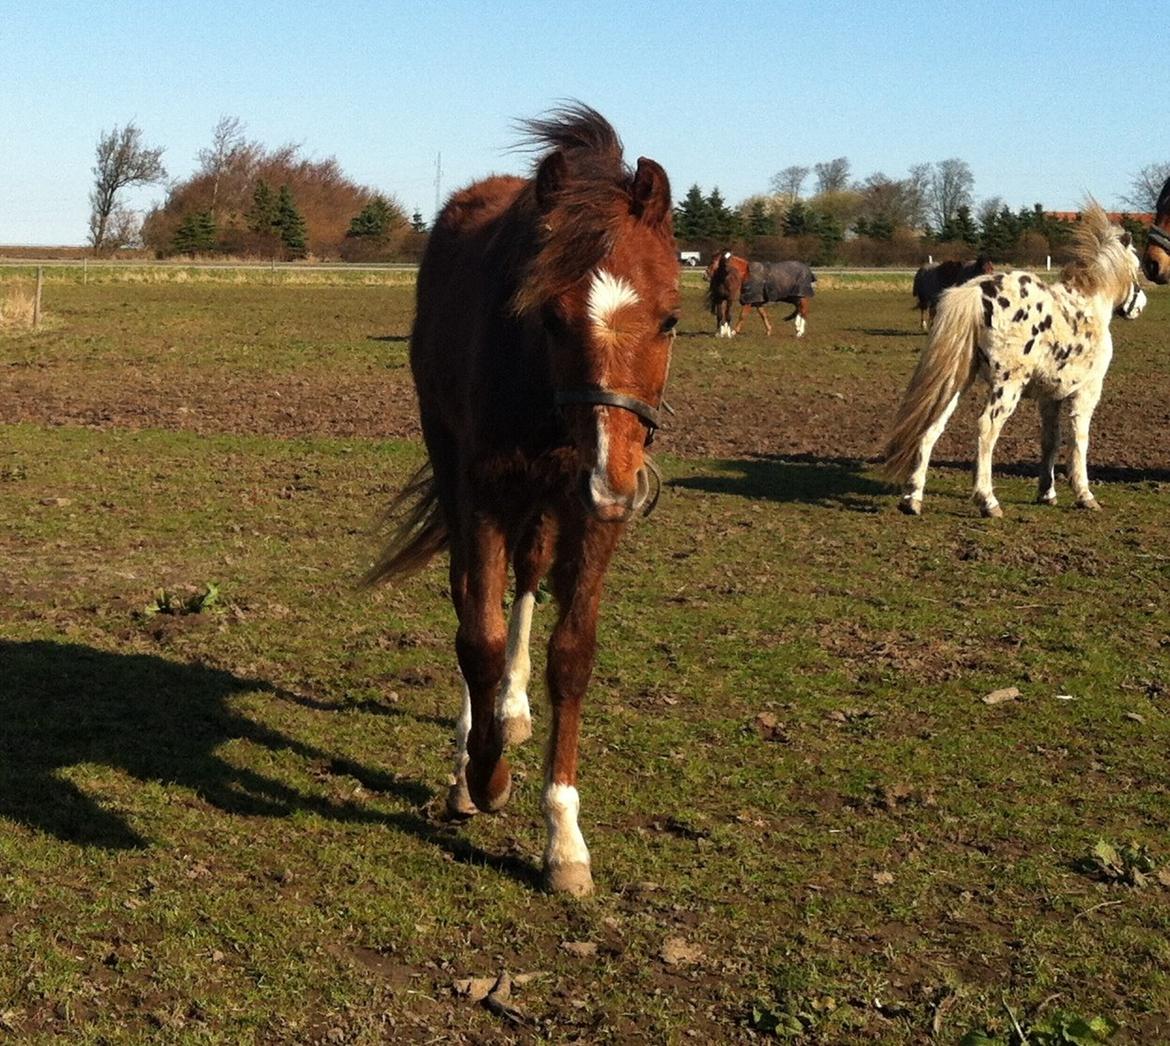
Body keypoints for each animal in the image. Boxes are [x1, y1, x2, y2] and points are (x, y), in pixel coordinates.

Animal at [363, 105, 679, 896]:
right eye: (551, 318)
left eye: (670, 319)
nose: (618, 480)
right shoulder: (483, 491)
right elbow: (476, 634)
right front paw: (482, 776)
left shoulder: (589, 515)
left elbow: (571, 653)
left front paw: (564, 838)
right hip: (454, 462)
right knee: (468, 596)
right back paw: (474, 740)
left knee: (528, 577)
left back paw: (511, 709)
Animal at [884, 202, 1146, 517]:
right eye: (1137, 266)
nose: (1139, 306)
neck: (1090, 304)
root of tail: (975, 291)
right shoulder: (1087, 392)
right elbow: (1079, 441)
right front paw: (1084, 495)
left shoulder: (1050, 397)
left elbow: (1050, 441)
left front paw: (1047, 493)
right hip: (1007, 387)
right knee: (986, 428)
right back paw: (988, 501)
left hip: (956, 381)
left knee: (931, 425)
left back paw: (912, 498)